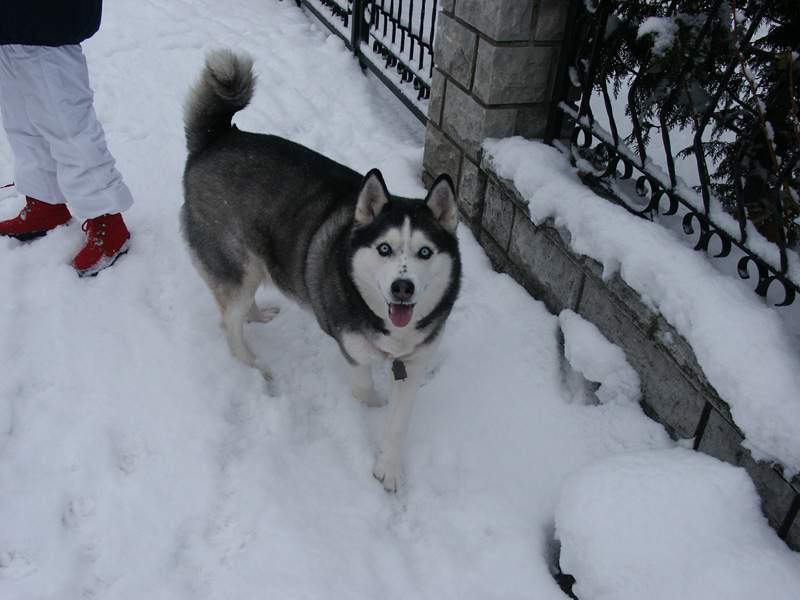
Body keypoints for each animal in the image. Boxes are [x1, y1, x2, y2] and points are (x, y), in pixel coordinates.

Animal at [179, 50, 460, 492]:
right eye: (384, 249)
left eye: (425, 252)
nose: (403, 288)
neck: (389, 332)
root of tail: (216, 139)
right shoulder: (352, 351)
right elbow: (364, 390)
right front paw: (373, 410)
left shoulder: (415, 363)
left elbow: (399, 422)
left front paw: (390, 467)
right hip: (234, 264)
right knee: (230, 321)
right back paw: (253, 363)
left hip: (255, 263)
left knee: (241, 307)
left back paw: (259, 314)